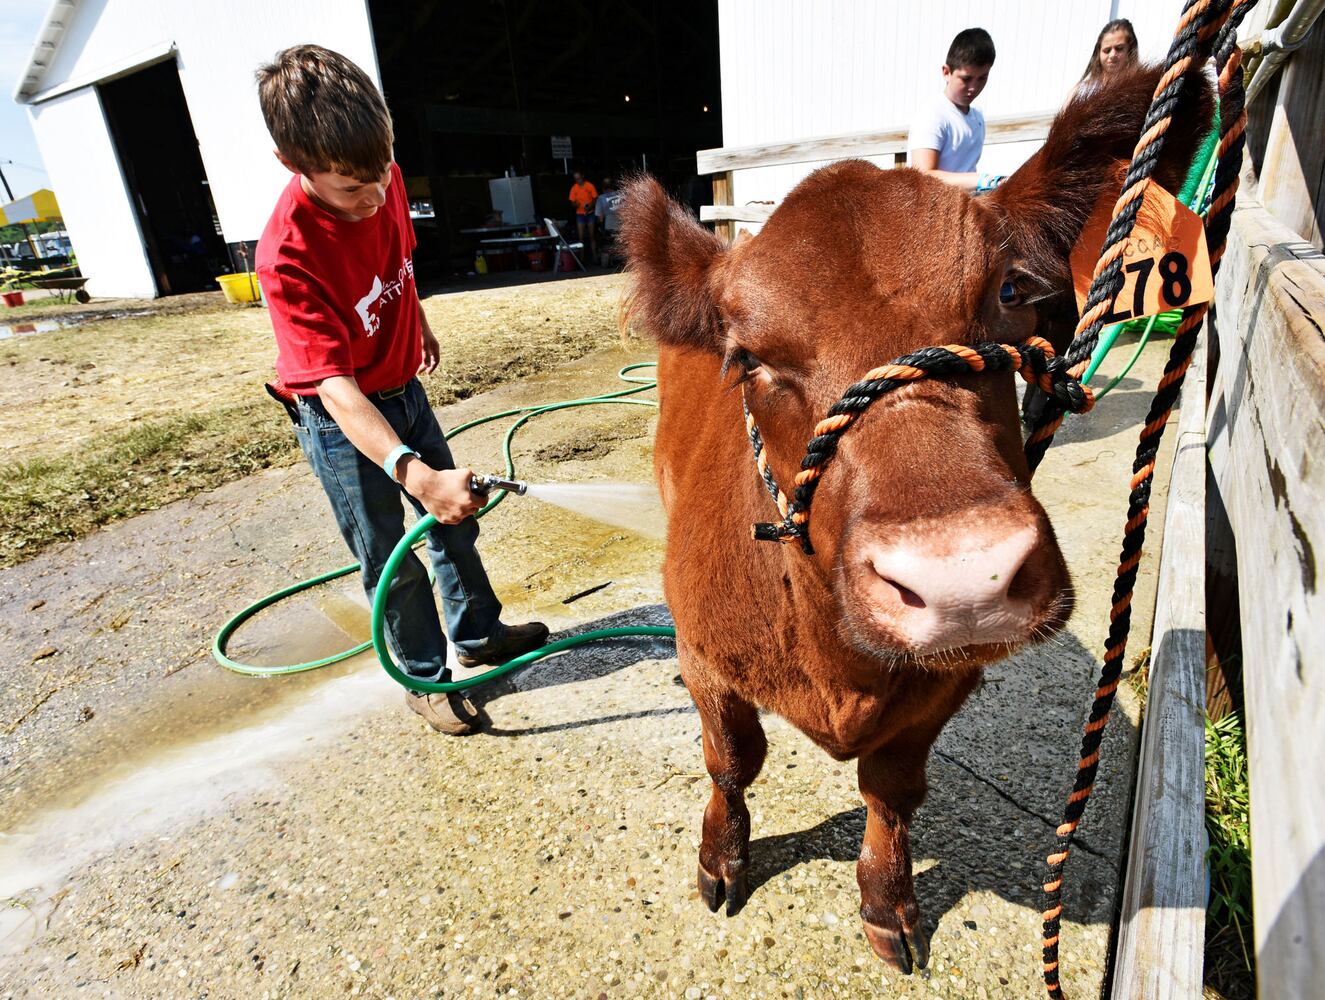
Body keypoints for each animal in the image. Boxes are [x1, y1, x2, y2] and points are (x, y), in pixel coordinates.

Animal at [620, 64, 1213, 980]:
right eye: (746, 358)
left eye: (1009, 291)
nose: (962, 577)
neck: (835, 668)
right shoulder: (704, 655)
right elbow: (731, 761)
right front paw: (720, 857)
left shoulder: (942, 685)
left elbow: (892, 791)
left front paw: (884, 901)